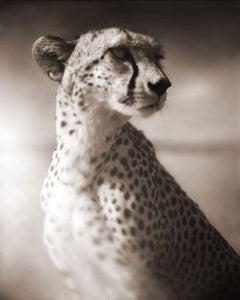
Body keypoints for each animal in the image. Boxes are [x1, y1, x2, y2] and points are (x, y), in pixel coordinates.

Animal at [32, 28, 239, 300]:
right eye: (119, 52)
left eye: (158, 57)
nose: (162, 84)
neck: (83, 149)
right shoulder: (80, 279)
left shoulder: (134, 280)